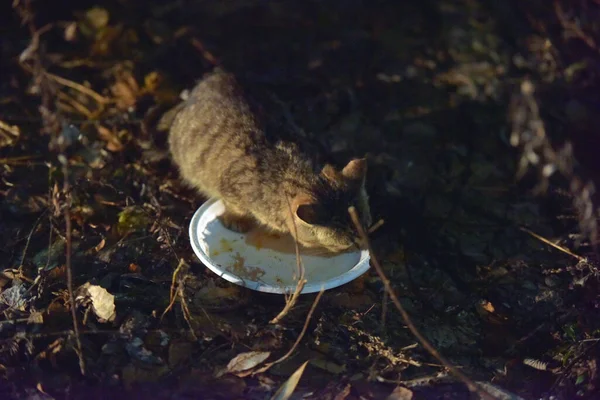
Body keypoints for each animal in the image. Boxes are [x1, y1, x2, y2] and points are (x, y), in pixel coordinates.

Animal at [168, 69, 370, 253]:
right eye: (348, 243)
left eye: (366, 228)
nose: (364, 246)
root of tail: (215, 75)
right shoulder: (231, 190)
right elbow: (235, 207)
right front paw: (236, 219)